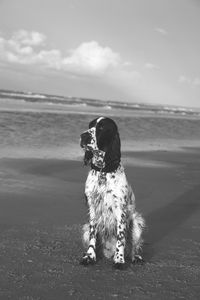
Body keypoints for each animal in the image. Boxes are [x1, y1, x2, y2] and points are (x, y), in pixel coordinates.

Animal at [79, 116, 144, 268]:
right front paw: (89, 257)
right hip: (85, 227)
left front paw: (119, 260)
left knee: (133, 247)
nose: (83, 136)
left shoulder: (120, 209)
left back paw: (134, 257)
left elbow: (121, 238)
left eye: (102, 128)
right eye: (90, 125)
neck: (103, 171)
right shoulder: (92, 208)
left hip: (136, 222)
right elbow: (92, 236)